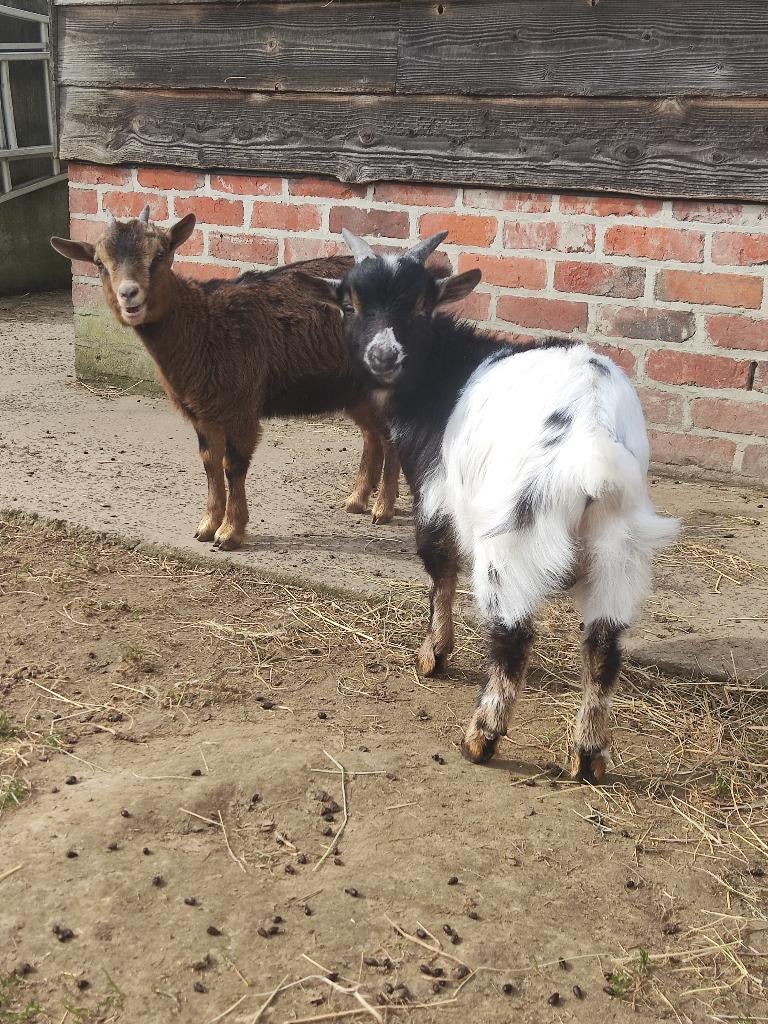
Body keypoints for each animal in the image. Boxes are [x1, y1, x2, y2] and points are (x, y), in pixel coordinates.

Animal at [51, 207, 400, 549]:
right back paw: (357, 500)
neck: (205, 326)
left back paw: (383, 508)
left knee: (389, 435)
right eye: (99, 263)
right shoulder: (202, 411)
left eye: (160, 255)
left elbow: (234, 465)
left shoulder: (241, 405)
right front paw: (206, 526)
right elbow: (209, 462)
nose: (129, 294)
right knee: (373, 433)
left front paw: (230, 532)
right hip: (353, 389)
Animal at [300, 229, 680, 783]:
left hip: (513, 537)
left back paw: (481, 736)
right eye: (350, 304)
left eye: (420, 303)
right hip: (619, 544)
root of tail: (591, 429)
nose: (385, 355)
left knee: (513, 635)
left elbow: (440, 570)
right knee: (603, 644)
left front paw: (433, 655)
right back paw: (587, 754)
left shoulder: (437, 497)